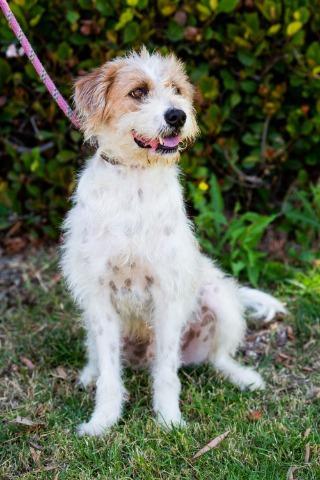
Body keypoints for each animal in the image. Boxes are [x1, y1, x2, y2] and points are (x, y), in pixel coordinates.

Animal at [61, 47, 286, 436]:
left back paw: (242, 377)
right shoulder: (100, 295)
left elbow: (167, 372)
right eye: (138, 92)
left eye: (176, 90)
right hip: (90, 314)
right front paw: (102, 422)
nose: (177, 115)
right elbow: (109, 373)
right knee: (98, 357)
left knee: (218, 357)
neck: (134, 178)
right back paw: (89, 374)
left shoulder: (167, 293)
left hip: (220, 301)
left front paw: (169, 421)